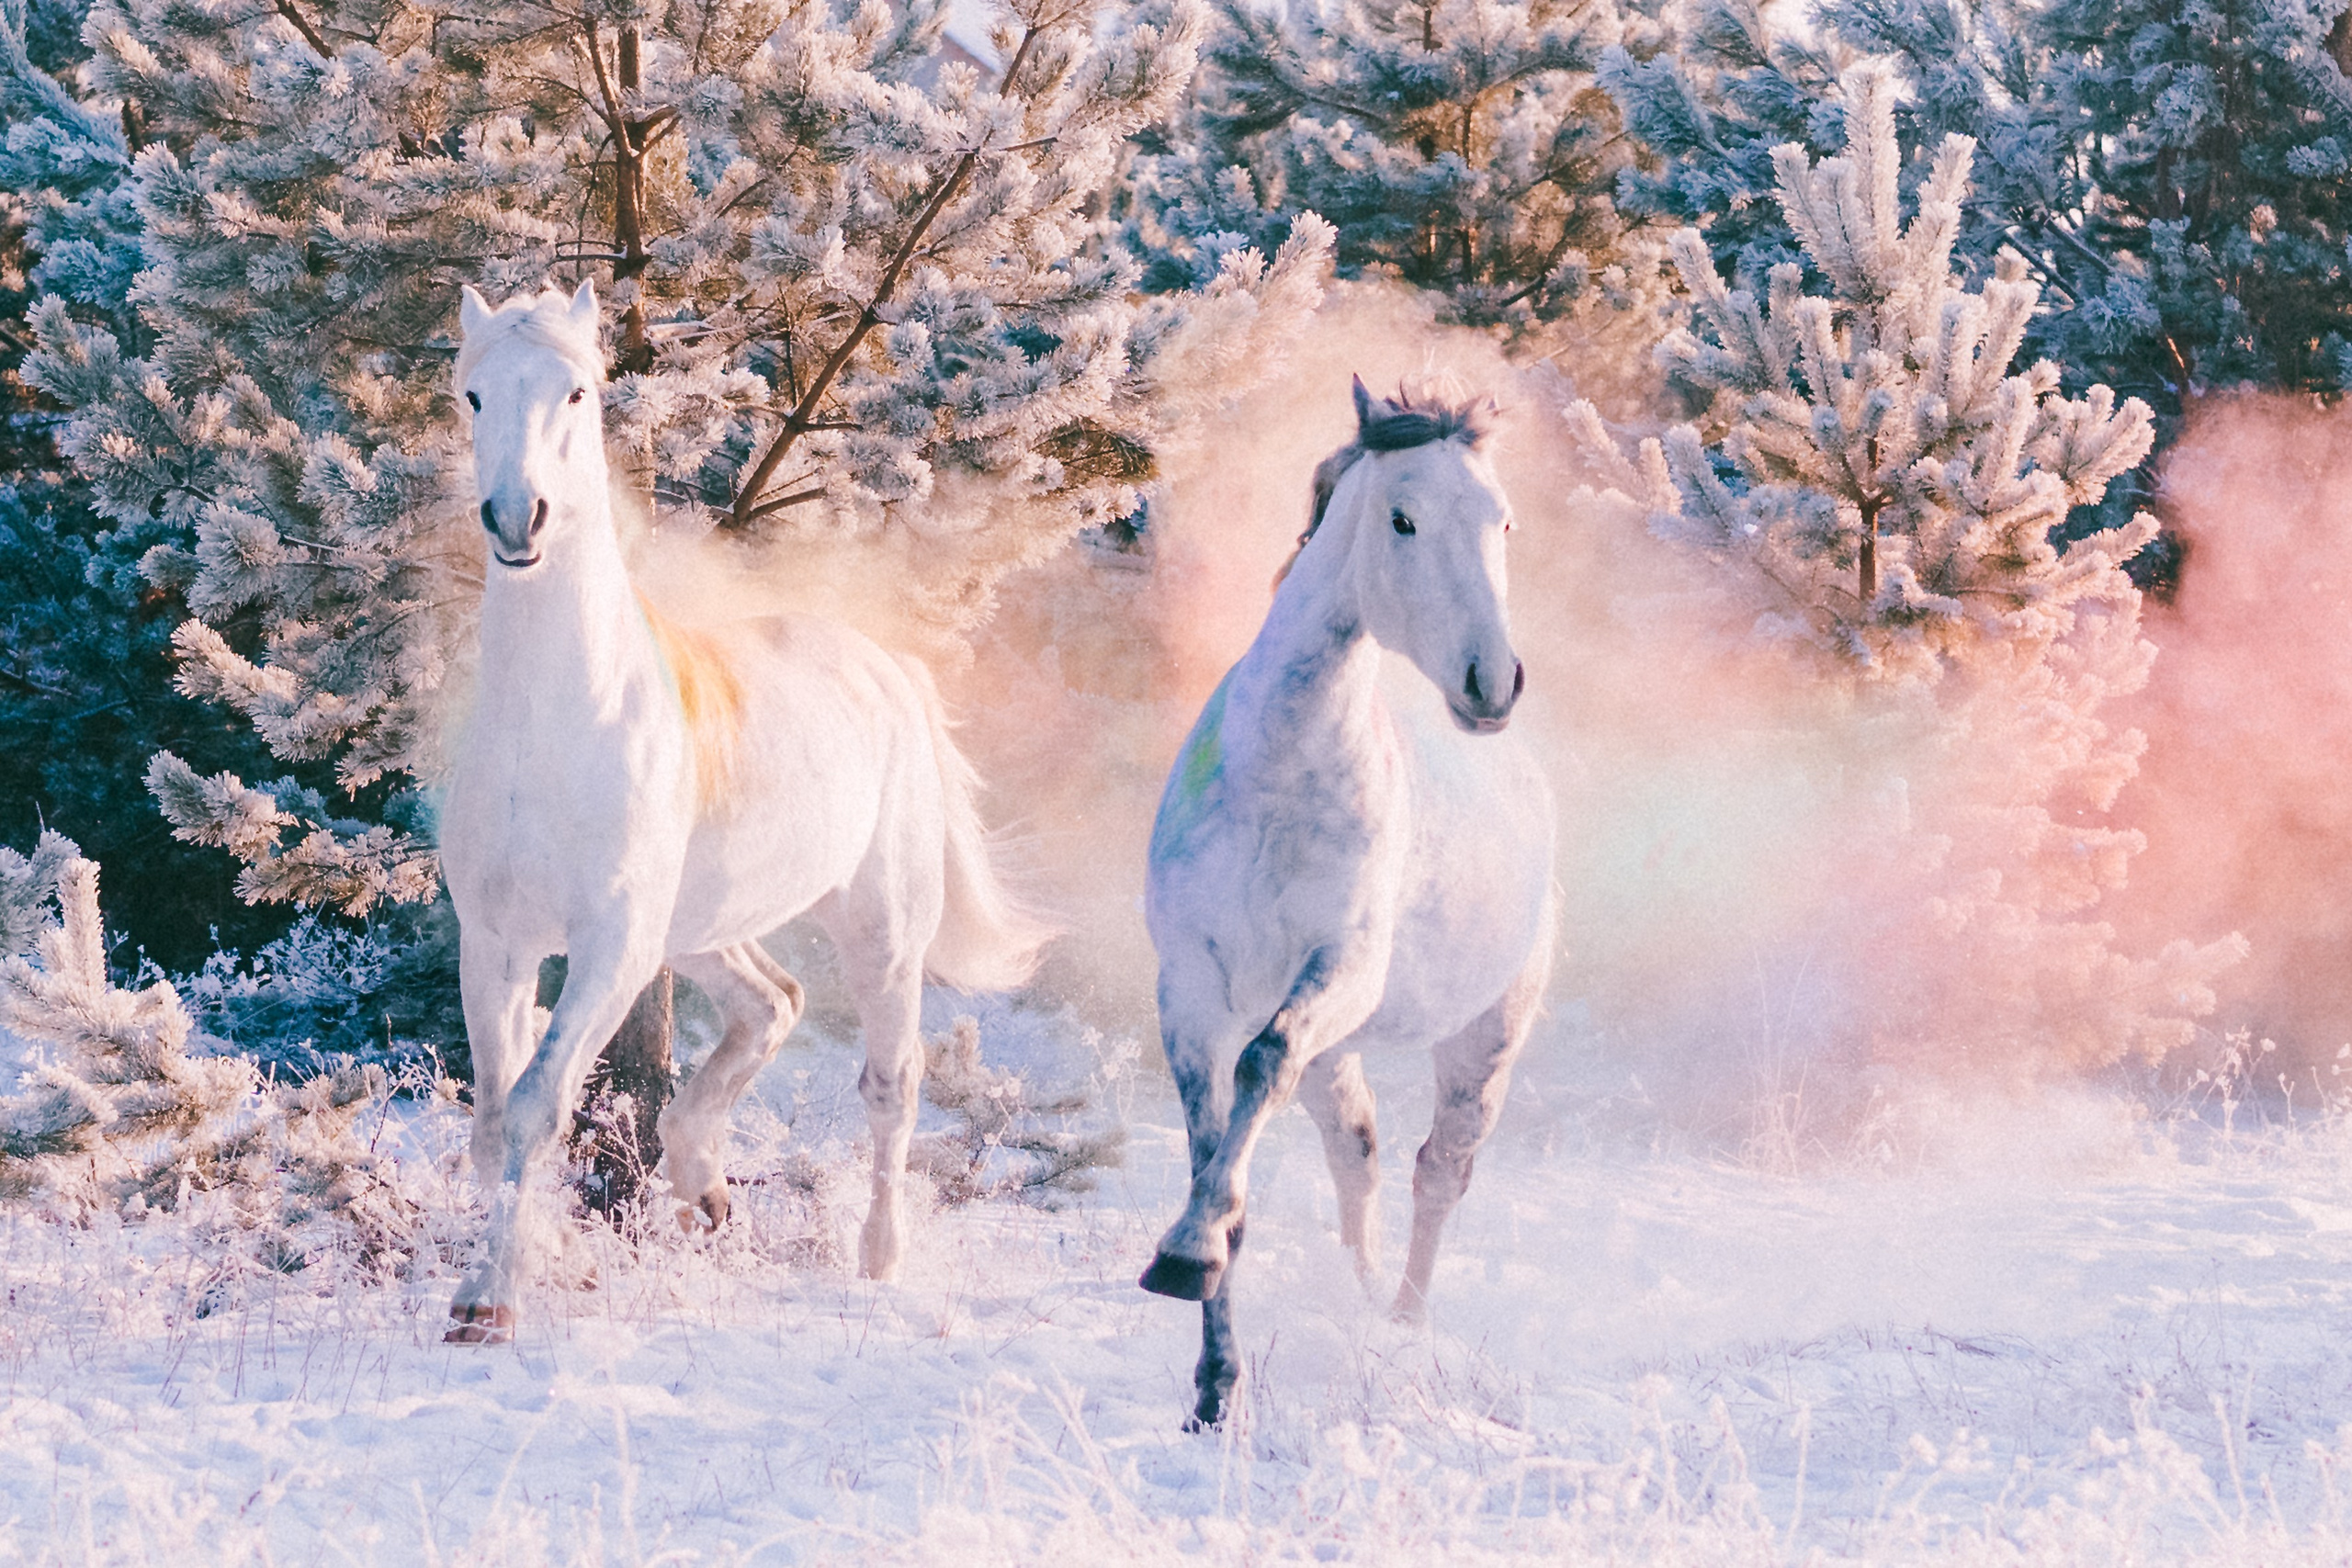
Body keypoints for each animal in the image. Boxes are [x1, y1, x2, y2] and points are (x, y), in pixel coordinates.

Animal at [441, 281, 1050, 1342]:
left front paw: (491, 1300)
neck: (551, 723)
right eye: (474, 394)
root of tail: (888, 669)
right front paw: (540, 1262)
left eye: (577, 393)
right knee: (774, 1003)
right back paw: (703, 1183)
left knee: (889, 1085)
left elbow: (534, 1108)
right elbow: (489, 1121)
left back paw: (878, 1258)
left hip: (881, 929)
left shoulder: (608, 948)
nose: (519, 519)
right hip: (696, 932)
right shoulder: (498, 942)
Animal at [1137, 376, 1558, 1427]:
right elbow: (1218, 1151)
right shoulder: (1190, 986)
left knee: (1438, 1170)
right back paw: (1361, 1298)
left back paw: (1402, 1324)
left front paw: (1187, 1253)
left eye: (1503, 520)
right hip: (1344, 1051)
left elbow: (1260, 1072)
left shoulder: (1343, 969)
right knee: (1357, 1153)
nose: (1494, 682)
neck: (1277, 784)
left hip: (1484, 1035)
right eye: (1402, 519)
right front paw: (1212, 1383)